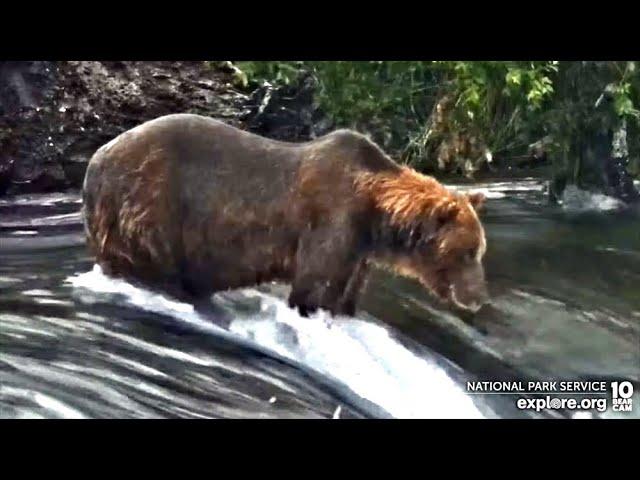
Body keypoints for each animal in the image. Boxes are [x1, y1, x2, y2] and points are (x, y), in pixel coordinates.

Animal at [82, 112, 488, 316]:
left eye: (479, 250)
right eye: (467, 252)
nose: (478, 297)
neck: (377, 219)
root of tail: (96, 158)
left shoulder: (358, 252)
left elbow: (345, 291)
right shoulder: (332, 222)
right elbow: (313, 283)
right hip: (150, 203)